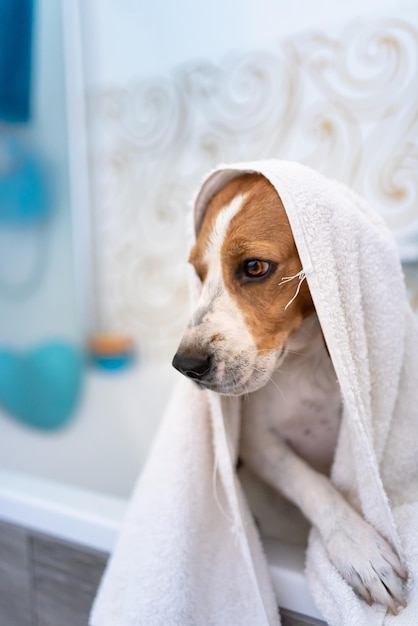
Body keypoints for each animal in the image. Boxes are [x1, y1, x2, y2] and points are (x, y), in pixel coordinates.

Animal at [171, 173, 406, 612]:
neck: (306, 362)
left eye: (255, 267)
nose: (186, 364)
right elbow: (312, 484)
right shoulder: (258, 443)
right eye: (198, 272)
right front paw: (360, 548)